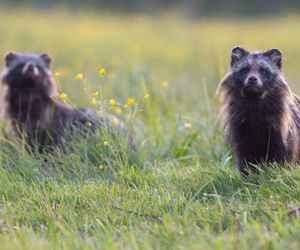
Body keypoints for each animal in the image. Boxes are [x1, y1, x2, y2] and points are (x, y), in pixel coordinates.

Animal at [217, 47, 300, 176]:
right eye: (245, 69)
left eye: (264, 71)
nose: (252, 79)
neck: (254, 102)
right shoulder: (240, 127)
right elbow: (244, 153)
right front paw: (248, 174)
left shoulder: (282, 128)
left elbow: (283, 153)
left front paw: (279, 170)